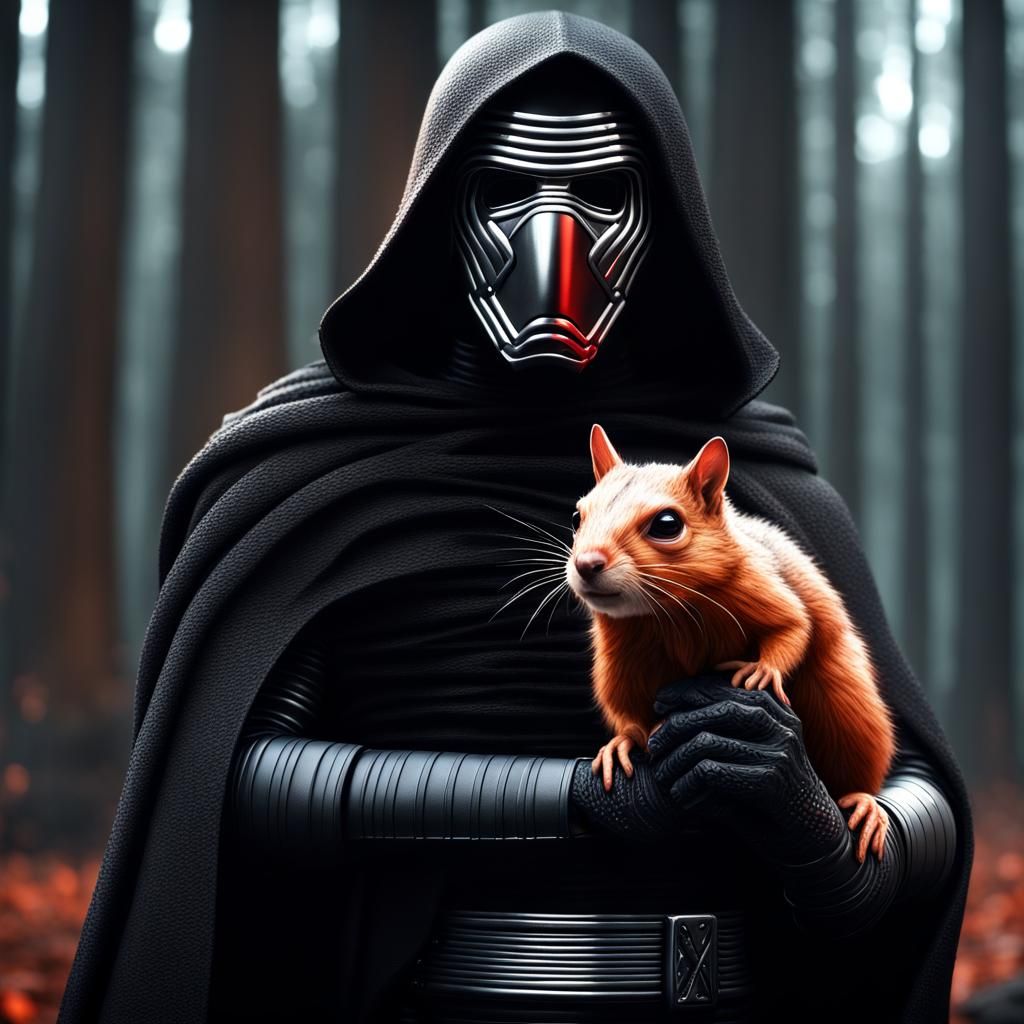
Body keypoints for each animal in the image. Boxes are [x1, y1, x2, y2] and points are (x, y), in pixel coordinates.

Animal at [566, 424, 896, 862]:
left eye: (667, 524)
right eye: (577, 516)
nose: (586, 563)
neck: (668, 613)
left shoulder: (761, 585)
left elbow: (794, 626)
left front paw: (761, 671)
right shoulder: (618, 658)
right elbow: (623, 707)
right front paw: (621, 743)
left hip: (847, 707)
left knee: (856, 771)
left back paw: (863, 801)